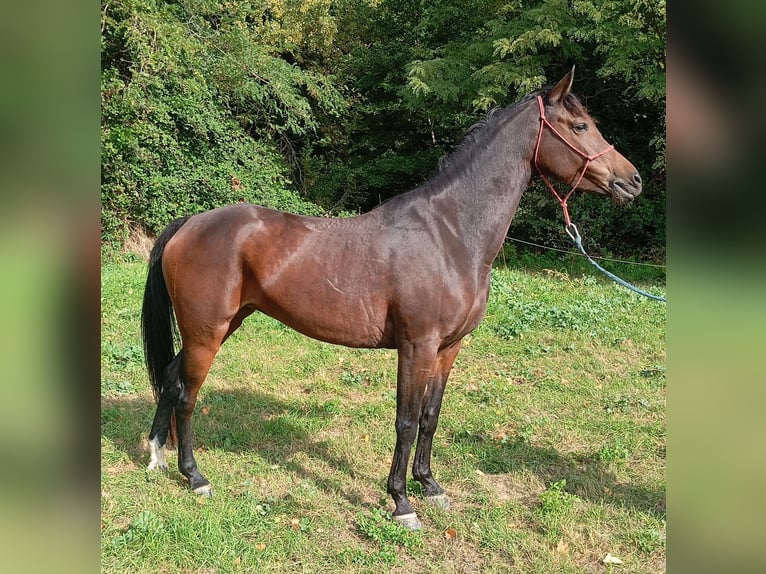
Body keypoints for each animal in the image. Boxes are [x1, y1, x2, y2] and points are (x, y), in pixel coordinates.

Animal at [141, 68, 642, 530]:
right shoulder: (416, 345)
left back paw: (156, 458)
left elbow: (430, 416)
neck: (450, 232)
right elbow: (405, 419)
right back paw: (195, 477)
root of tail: (189, 223)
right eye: (580, 126)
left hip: (217, 327)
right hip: (208, 333)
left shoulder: (447, 348)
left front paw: (431, 486)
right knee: (187, 395)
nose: (632, 181)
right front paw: (401, 502)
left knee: (170, 377)